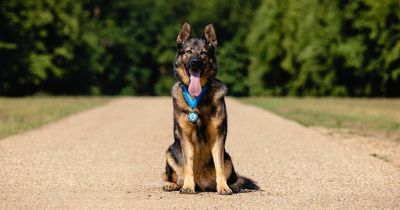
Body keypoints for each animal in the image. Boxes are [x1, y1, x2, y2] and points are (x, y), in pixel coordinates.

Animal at [162, 21, 260, 195]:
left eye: (203, 53)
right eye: (188, 52)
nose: (195, 62)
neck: (198, 98)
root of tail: (201, 183)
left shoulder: (218, 138)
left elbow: (219, 166)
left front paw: (223, 187)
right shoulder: (186, 138)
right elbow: (188, 165)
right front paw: (188, 187)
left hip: (228, 158)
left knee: (236, 178)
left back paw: (231, 186)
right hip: (171, 151)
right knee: (175, 177)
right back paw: (173, 184)